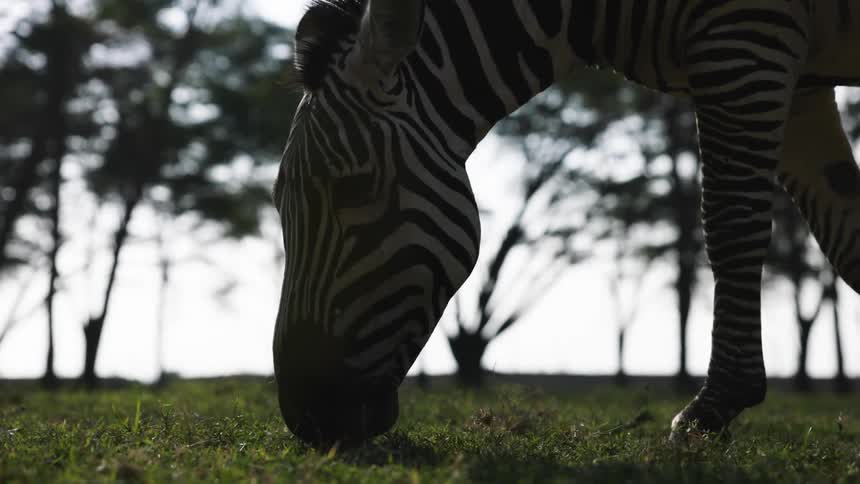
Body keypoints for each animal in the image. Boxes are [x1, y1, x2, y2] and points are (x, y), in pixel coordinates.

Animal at [272, 0, 860, 445]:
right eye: (277, 204)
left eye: (354, 189)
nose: (305, 419)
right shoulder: (793, 76)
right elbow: (846, 236)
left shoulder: (745, 40)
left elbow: (731, 224)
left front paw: (714, 406)